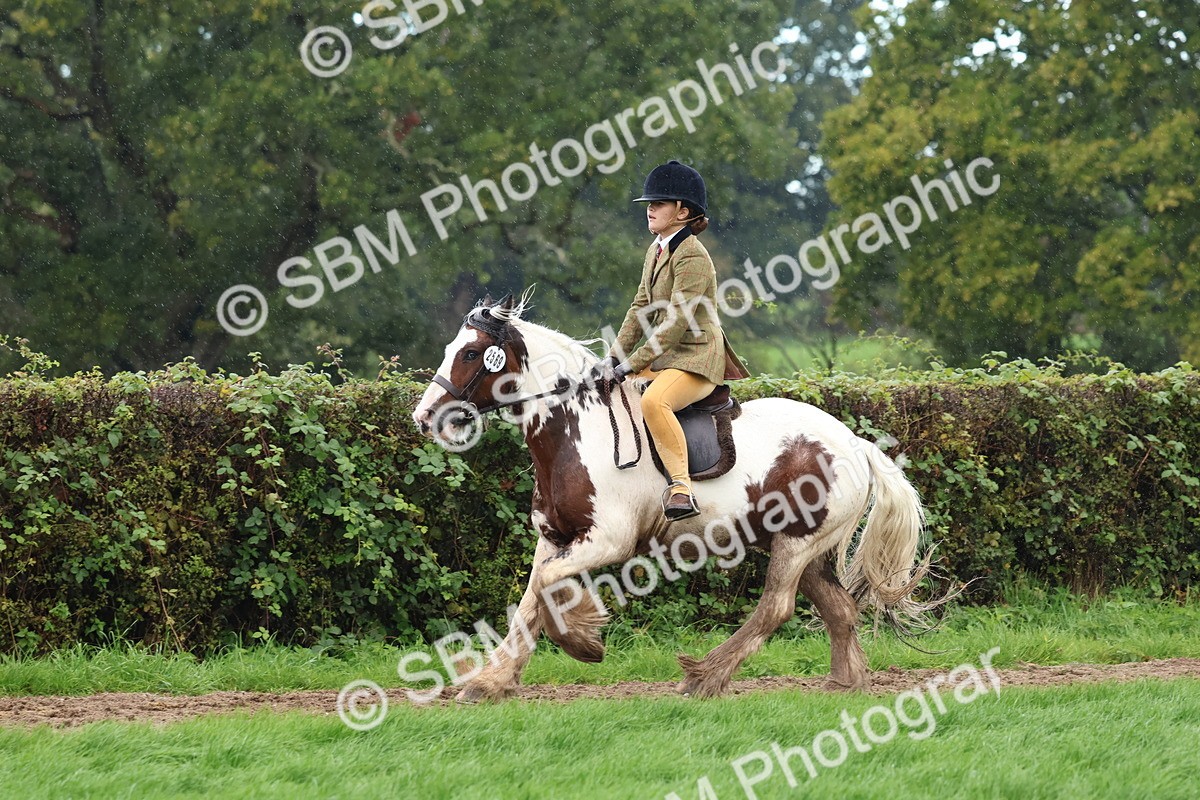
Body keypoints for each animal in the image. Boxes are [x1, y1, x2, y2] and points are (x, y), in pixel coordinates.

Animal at [412, 293, 943, 701]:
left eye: (469, 355)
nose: (424, 417)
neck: (574, 430)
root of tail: (855, 444)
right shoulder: (554, 535)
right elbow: (530, 602)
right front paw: (491, 682)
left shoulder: (609, 540)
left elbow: (547, 588)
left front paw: (584, 642)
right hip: (805, 547)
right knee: (838, 609)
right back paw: (845, 682)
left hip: (797, 544)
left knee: (776, 608)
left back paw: (704, 677)